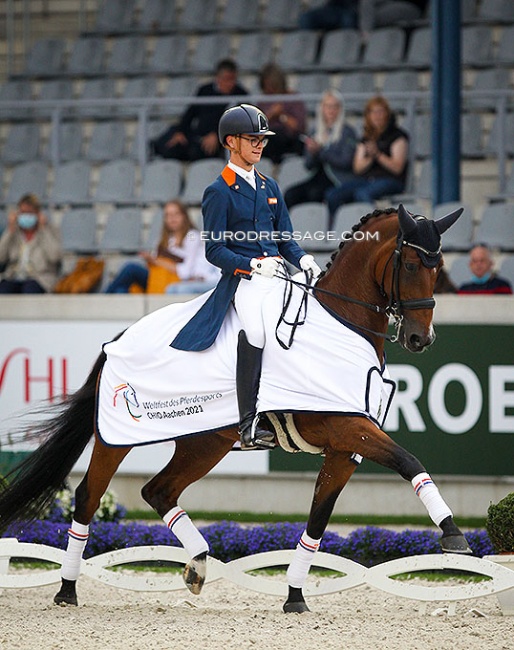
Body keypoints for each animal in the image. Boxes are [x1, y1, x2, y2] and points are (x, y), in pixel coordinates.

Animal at [0, 204, 468, 612]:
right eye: (412, 265)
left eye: (440, 266)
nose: (420, 339)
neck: (342, 324)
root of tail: (118, 337)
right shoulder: (348, 428)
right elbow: (409, 461)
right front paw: (453, 534)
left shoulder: (342, 449)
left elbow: (317, 523)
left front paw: (295, 597)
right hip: (118, 437)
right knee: (88, 496)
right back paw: (67, 590)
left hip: (206, 442)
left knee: (159, 490)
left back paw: (198, 564)